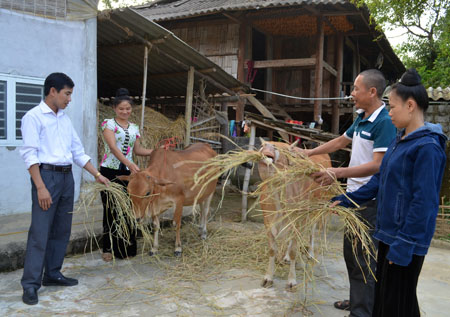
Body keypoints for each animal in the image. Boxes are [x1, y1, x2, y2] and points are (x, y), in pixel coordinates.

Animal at [256, 141, 330, 288]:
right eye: (263, 144)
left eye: (285, 151)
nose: (267, 146)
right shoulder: (268, 221)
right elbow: (272, 250)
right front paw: (268, 277)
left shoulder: (298, 219)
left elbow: (293, 251)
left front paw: (291, 280)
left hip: (317, 207)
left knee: (313, 230)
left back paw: (310, 253)